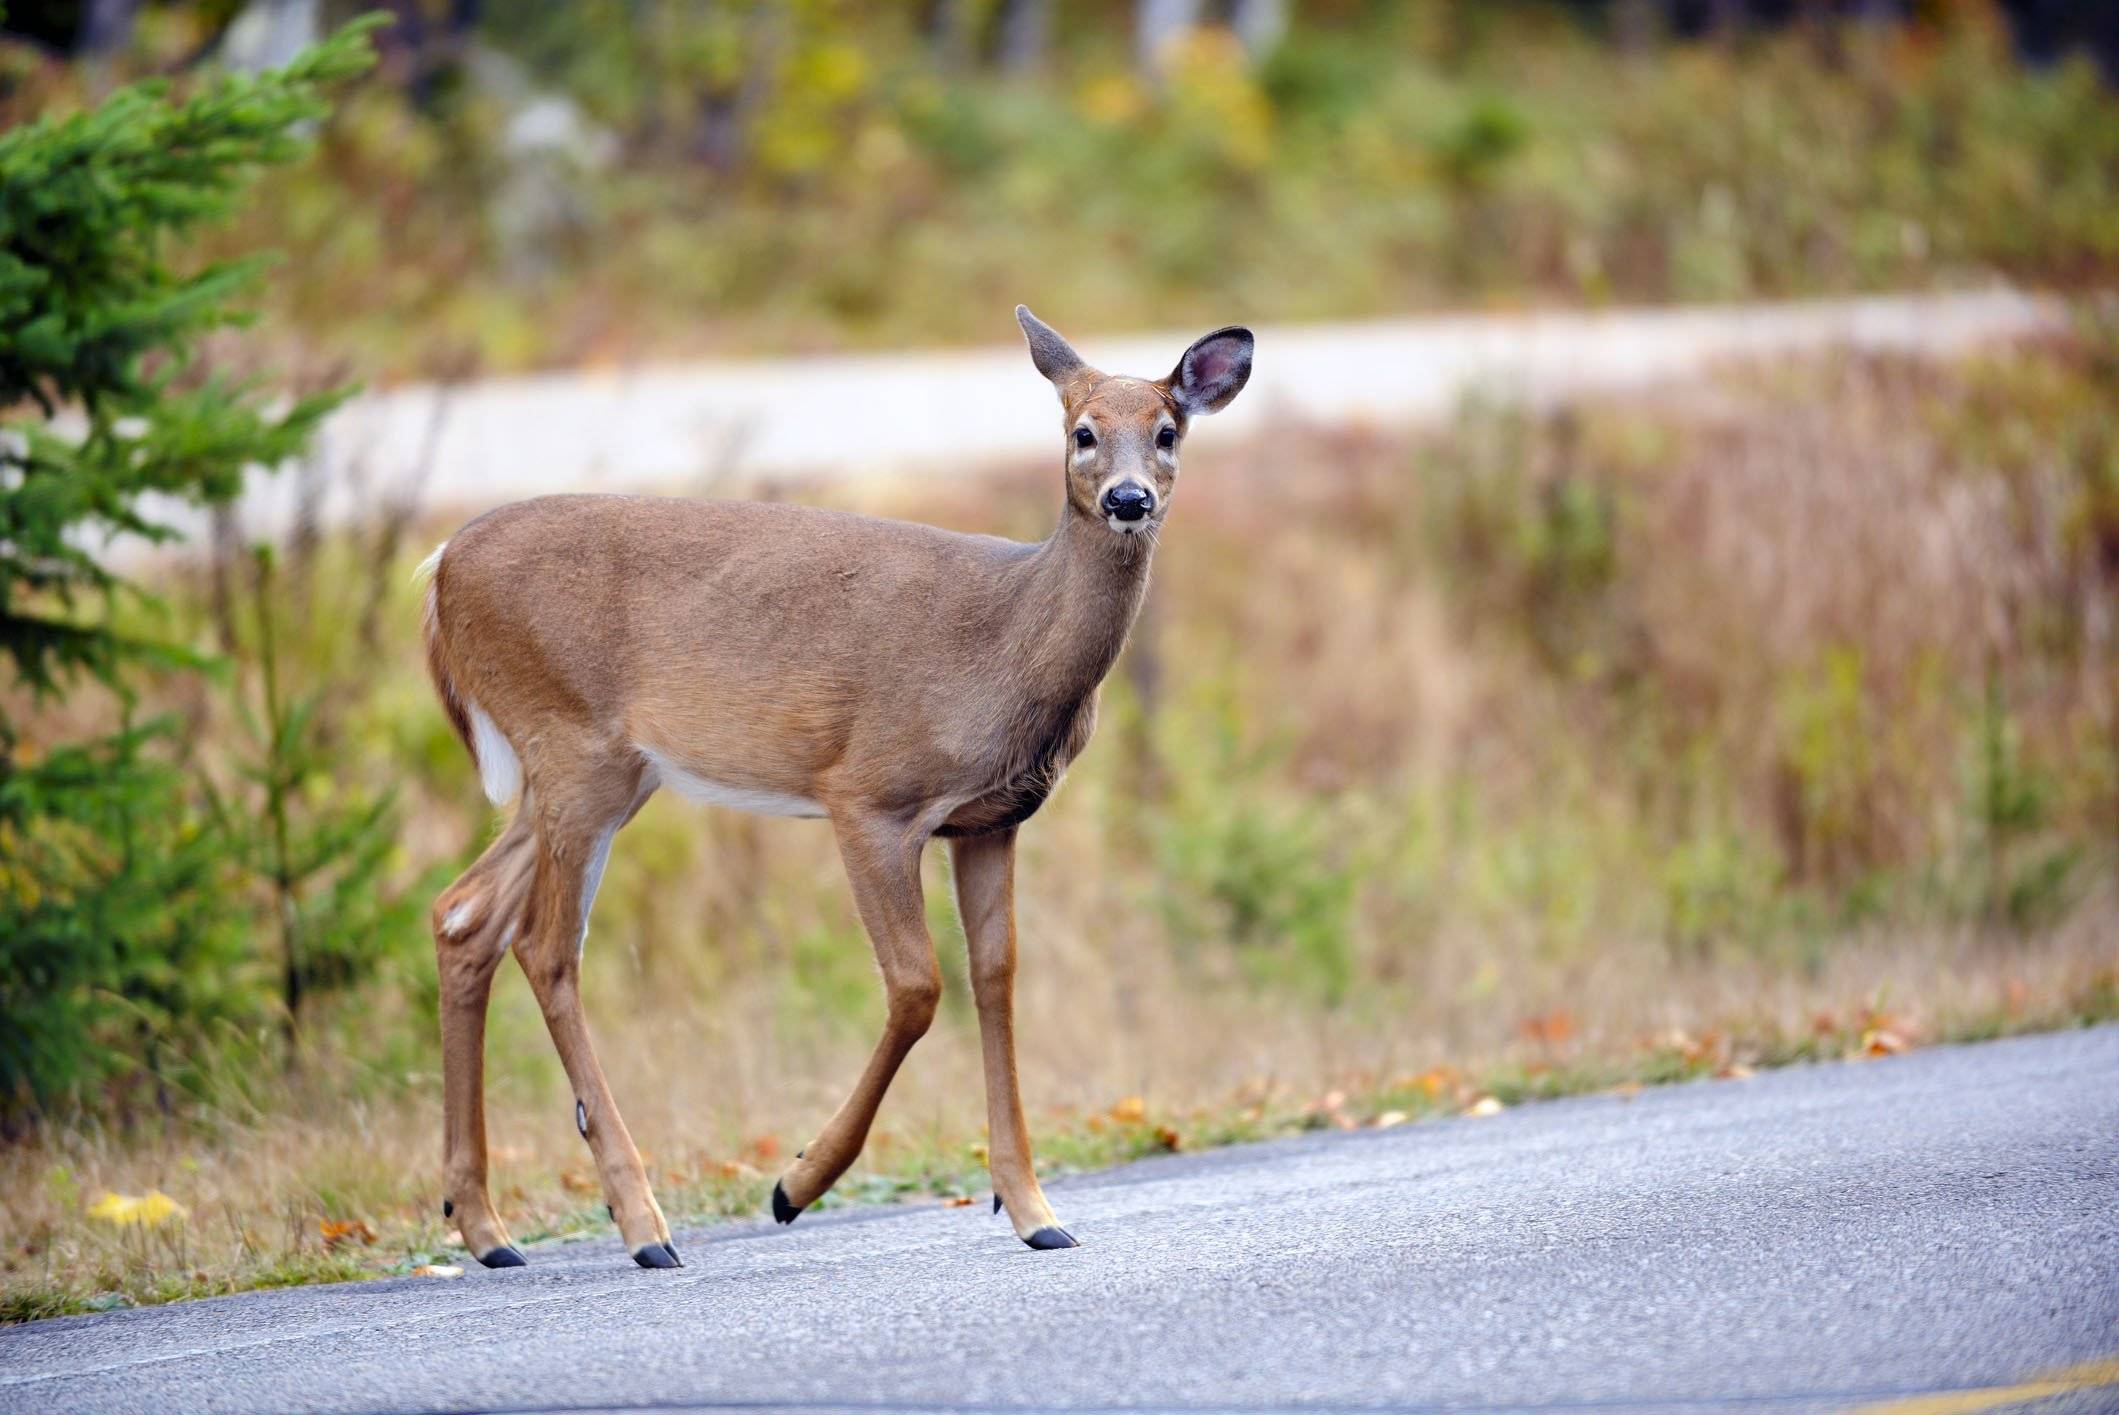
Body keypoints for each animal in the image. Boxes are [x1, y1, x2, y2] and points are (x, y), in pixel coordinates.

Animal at [418, 308, 1253, 1268]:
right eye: (1081, 432)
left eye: (1166, 431)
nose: (1127, 499)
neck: (1011, 642)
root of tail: (437, 568)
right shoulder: (869, 794)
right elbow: (918, 985)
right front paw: (795, 1182)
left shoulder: (991, 820)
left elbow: (995, 976)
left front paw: (1032, 1206)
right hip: (572, 745)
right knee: (547, 946)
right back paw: (642, 1224)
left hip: (608, 772)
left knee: (465, 914)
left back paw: (486, 1227)